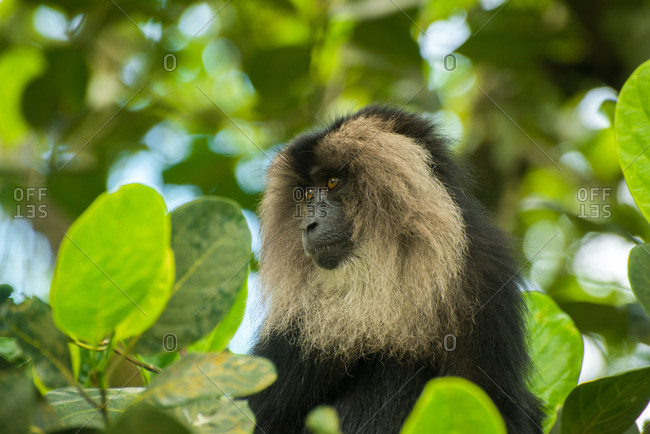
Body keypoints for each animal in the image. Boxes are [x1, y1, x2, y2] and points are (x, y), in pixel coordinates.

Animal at [246, 106, 544, 433]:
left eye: (333, 182)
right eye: (308, 196)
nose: (308, 224)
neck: (397, 268)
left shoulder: (485, 270)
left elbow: (498, 404)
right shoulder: (302, 317)